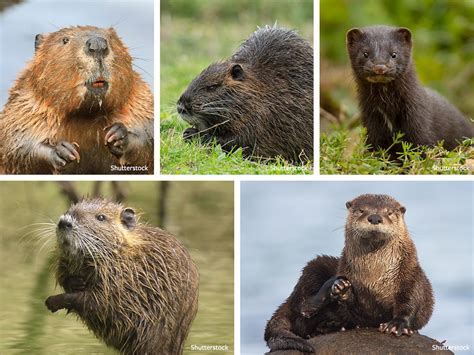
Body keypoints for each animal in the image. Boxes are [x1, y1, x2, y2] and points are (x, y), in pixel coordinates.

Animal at [0, 25, 153, 175]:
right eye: (65, 40)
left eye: (111, 37)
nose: (97, 45)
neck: (87, 116)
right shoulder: (26, 104)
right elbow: (15, 143)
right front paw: (63, 151)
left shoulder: (140, 101)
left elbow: (148, 134)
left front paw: (116, 136)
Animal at [45, 199, 198, 354]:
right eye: (69, 210)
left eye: (101, 217)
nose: (64, 222)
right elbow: (64, 276)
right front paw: (75, 282)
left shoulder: (126, 281)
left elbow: (99, 303)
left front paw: (52, 301)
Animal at [176, 25, 312, 163]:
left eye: (212, 87)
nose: (181, 106)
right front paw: (187, 132)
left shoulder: (263, 117)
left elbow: (239, 140)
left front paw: (193, 134)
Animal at [264, 195, 436, 354]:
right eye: (361, 210)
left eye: (389, 212)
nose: (375, 217)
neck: (375, 276)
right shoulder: (347, 274)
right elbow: (354, 311)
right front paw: (342, 289)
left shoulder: (410, 274)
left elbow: (411, 300)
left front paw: (396, 324)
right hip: (314, 267)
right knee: (302, 306)